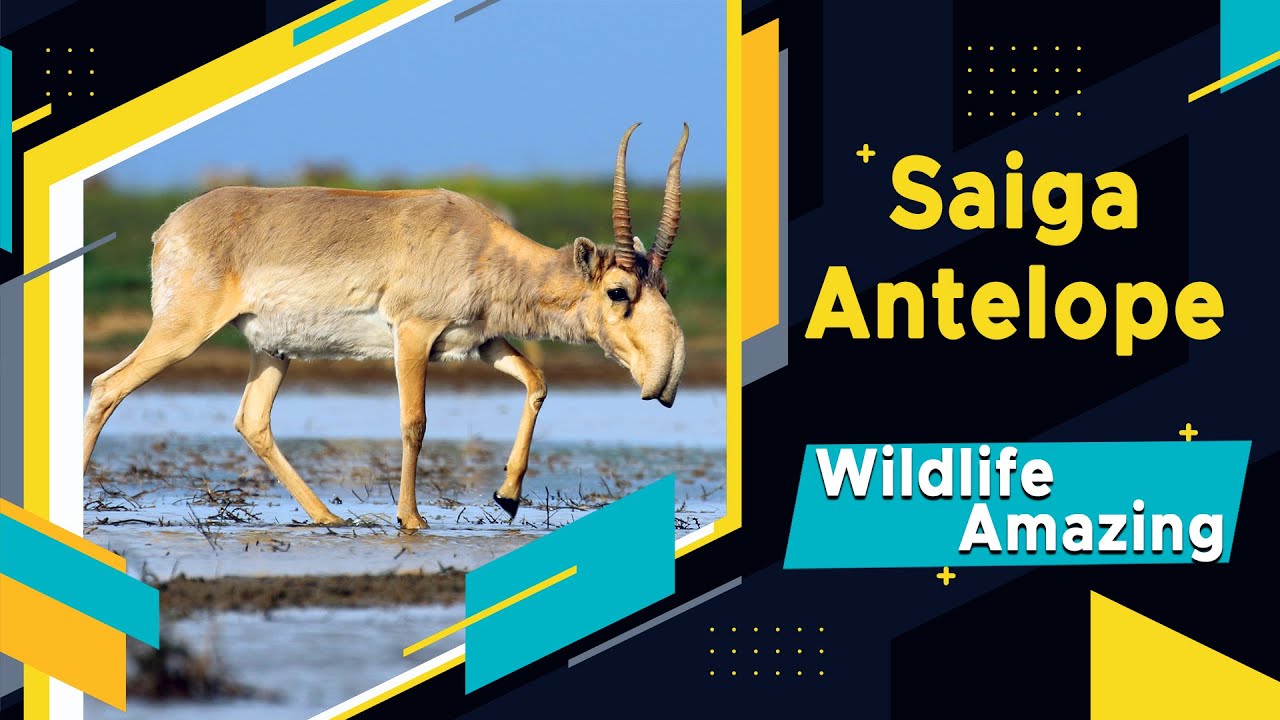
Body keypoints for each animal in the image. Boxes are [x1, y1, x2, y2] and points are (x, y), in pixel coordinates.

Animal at [82, 123, 690, 530]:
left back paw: (328, 518)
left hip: (272, 351)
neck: (478, 242)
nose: (665, 380)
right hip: (181, 333)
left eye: (664, 286)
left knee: (252, 421)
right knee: (107, 386)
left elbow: (538, 382)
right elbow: (414, 422)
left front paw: (508, 496)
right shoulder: (413, 336)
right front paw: (412, 519)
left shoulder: (481, 342)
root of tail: (168, 228)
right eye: (618, 291)